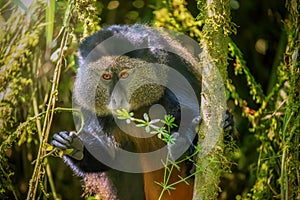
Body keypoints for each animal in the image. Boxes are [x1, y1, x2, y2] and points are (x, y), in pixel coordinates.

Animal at [51, 25, 234, 200]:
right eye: (106, 77)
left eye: (124, 75)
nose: (117, 99)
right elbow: (109, 157)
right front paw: (75, 146)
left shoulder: (170, 62)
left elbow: (188, 108)